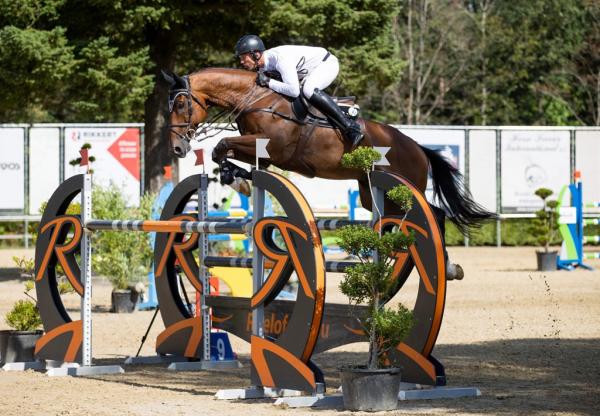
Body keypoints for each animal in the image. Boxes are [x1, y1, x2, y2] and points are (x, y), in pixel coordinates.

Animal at [163, 68, 494, 269]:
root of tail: (418, 148)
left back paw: (445, 264)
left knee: (434, 214)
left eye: (180, 105)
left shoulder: (270, 146)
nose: (177, 148)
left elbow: (221, 145)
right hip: (371, 193)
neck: (255, 98)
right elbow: (224, 153)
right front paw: (237, 178)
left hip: (403, 187)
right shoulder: (263, 154)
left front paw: (238, 179)